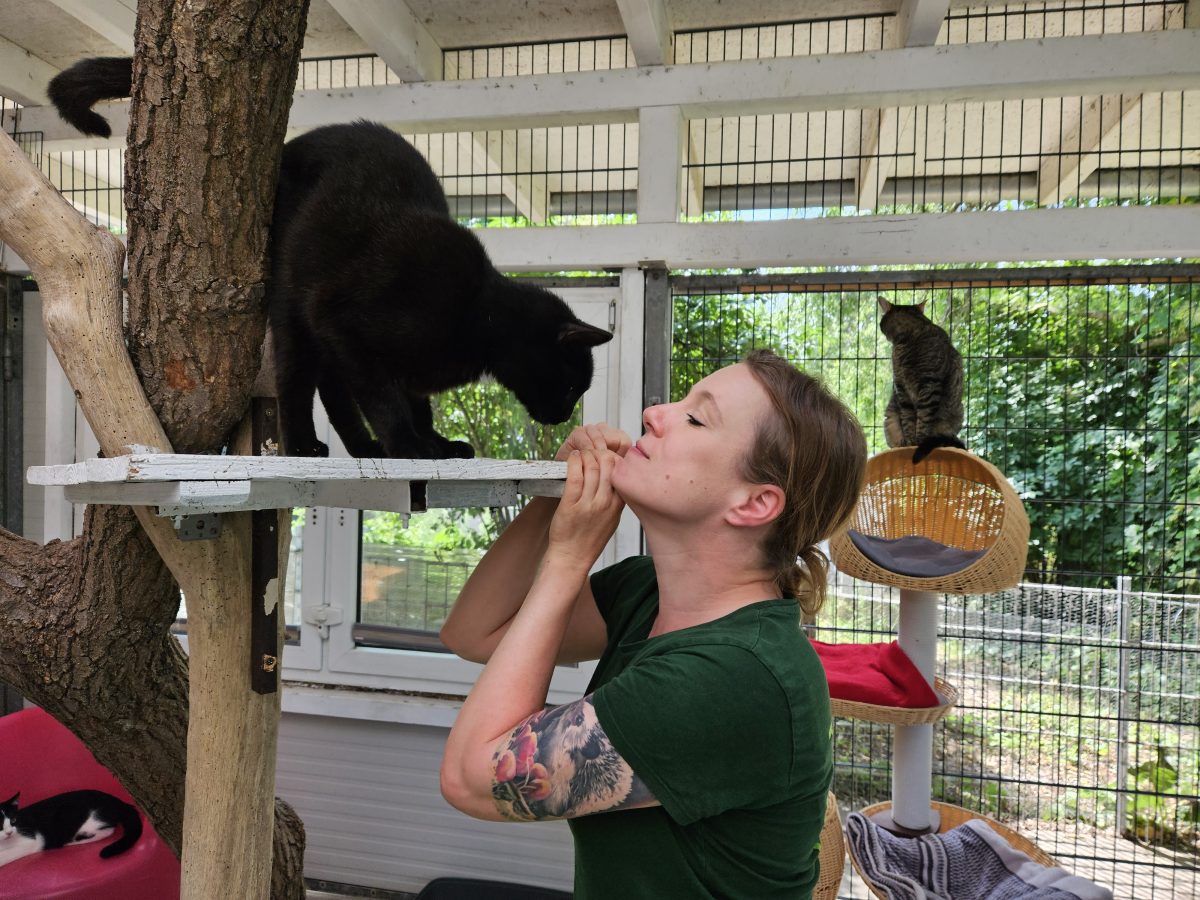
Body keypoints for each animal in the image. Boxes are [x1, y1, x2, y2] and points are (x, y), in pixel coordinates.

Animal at [0, 787, 142, 868]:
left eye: (13, 820)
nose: (9, 833)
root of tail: (119, 801)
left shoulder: (32, 841)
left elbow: (8, 854)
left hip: (91, 820)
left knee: (108, 830)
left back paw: (73, 841)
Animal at [48, 60, 614, 460]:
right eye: (571, 384)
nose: (563, 416)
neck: (479, 313)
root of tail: (290, 147)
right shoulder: (349, 323)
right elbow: (385, 402)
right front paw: (411, 447)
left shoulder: (390, 358)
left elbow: (415, 402)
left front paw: (434, 442)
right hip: (299, 306)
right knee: (302, 380)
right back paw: (307, 445)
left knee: (331, 386)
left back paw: (360, 447)